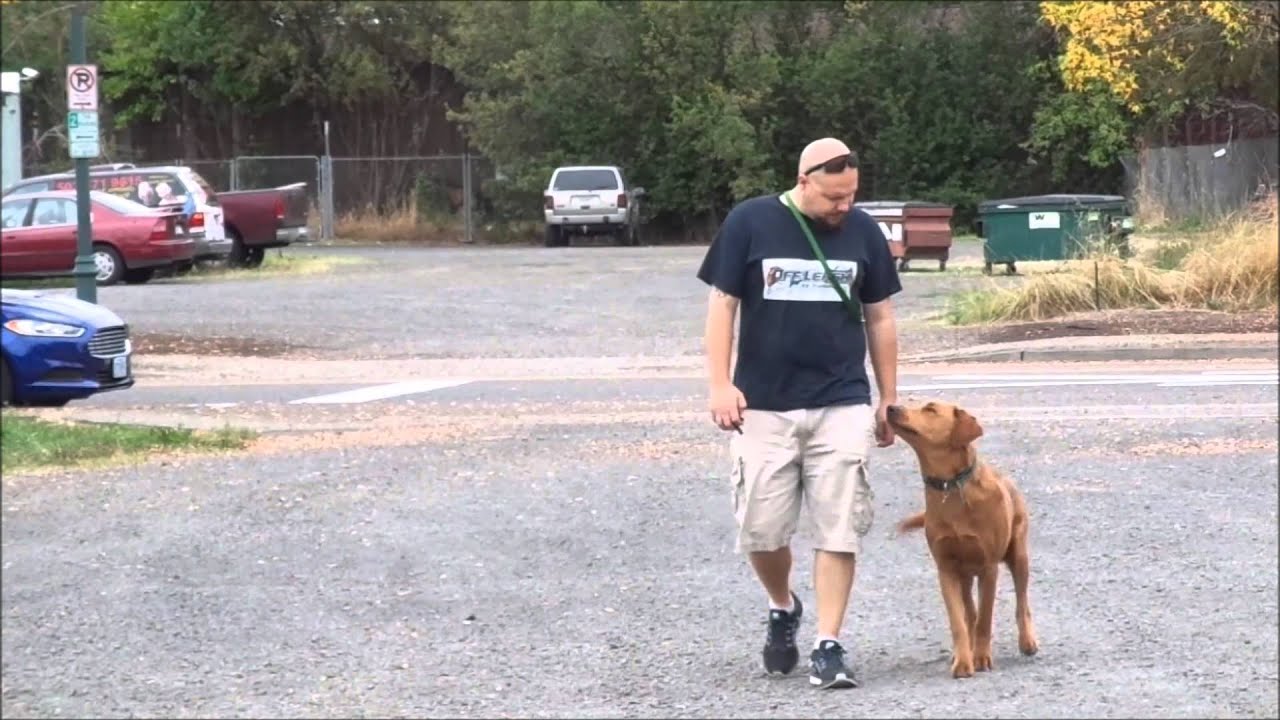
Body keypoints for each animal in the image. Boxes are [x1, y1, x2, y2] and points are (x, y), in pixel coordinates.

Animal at [890, 399, 1039, 676]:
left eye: (930, 409)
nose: (890, 408)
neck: (950, 486)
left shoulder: (989, 567)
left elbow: (985, 618)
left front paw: (981, 658)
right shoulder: (946, 569)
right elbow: (958, 621)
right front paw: (963, 660)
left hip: (1019, 556)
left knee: (1021, 602)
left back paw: (1027, 641)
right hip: (965, 575)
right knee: (969, 612)